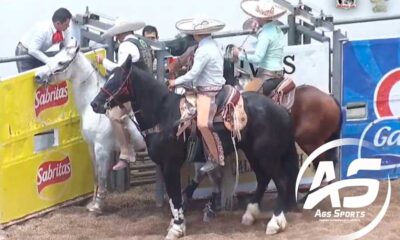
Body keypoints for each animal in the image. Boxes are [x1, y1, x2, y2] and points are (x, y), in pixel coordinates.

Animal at [34, 44, 146, 213]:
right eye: (53, 57)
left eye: (61, 62)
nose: (38, 76)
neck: (90, 105)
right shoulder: (91, 146)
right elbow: (95, 175)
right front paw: (92, 203)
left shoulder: (102, 148)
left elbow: (102, 176)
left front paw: (98, 206)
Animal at [89, 55, 298, 238]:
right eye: (107, 79)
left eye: (116, 82)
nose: (94, 104)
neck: (163, 115)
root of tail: (282, 110)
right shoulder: (165, 166)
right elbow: (174, 198)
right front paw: (176, 223)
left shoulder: (171, 164)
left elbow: (175, 195)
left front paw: (176, 228)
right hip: (254, 153)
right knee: (263, 178)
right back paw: (250, 214)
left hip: (267, 155)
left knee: (281, 182)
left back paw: (275, 223)